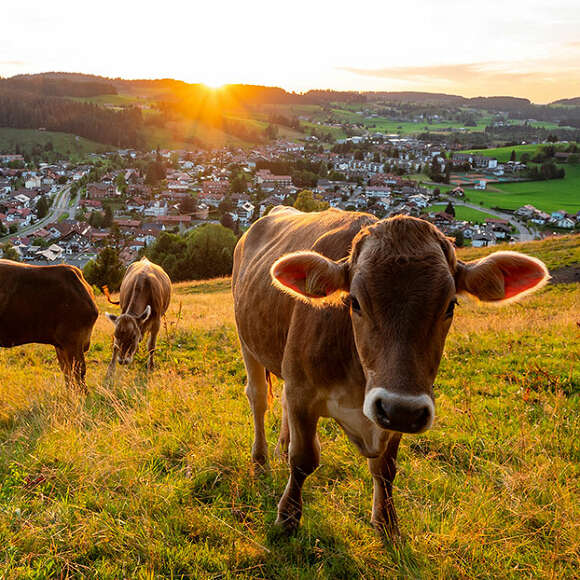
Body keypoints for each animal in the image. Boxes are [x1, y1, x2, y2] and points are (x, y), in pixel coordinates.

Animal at [231, 207, 548, 540]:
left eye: (450, 305)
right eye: (354, 301)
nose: (401, 409)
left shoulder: (400, 408)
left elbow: (385, 469)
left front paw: (386, 523)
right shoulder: (303, 392)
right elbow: (304, 459)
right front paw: (288, 517)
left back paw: (280, 447)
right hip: (246, 341)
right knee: (259, 399)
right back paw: (261, 460)